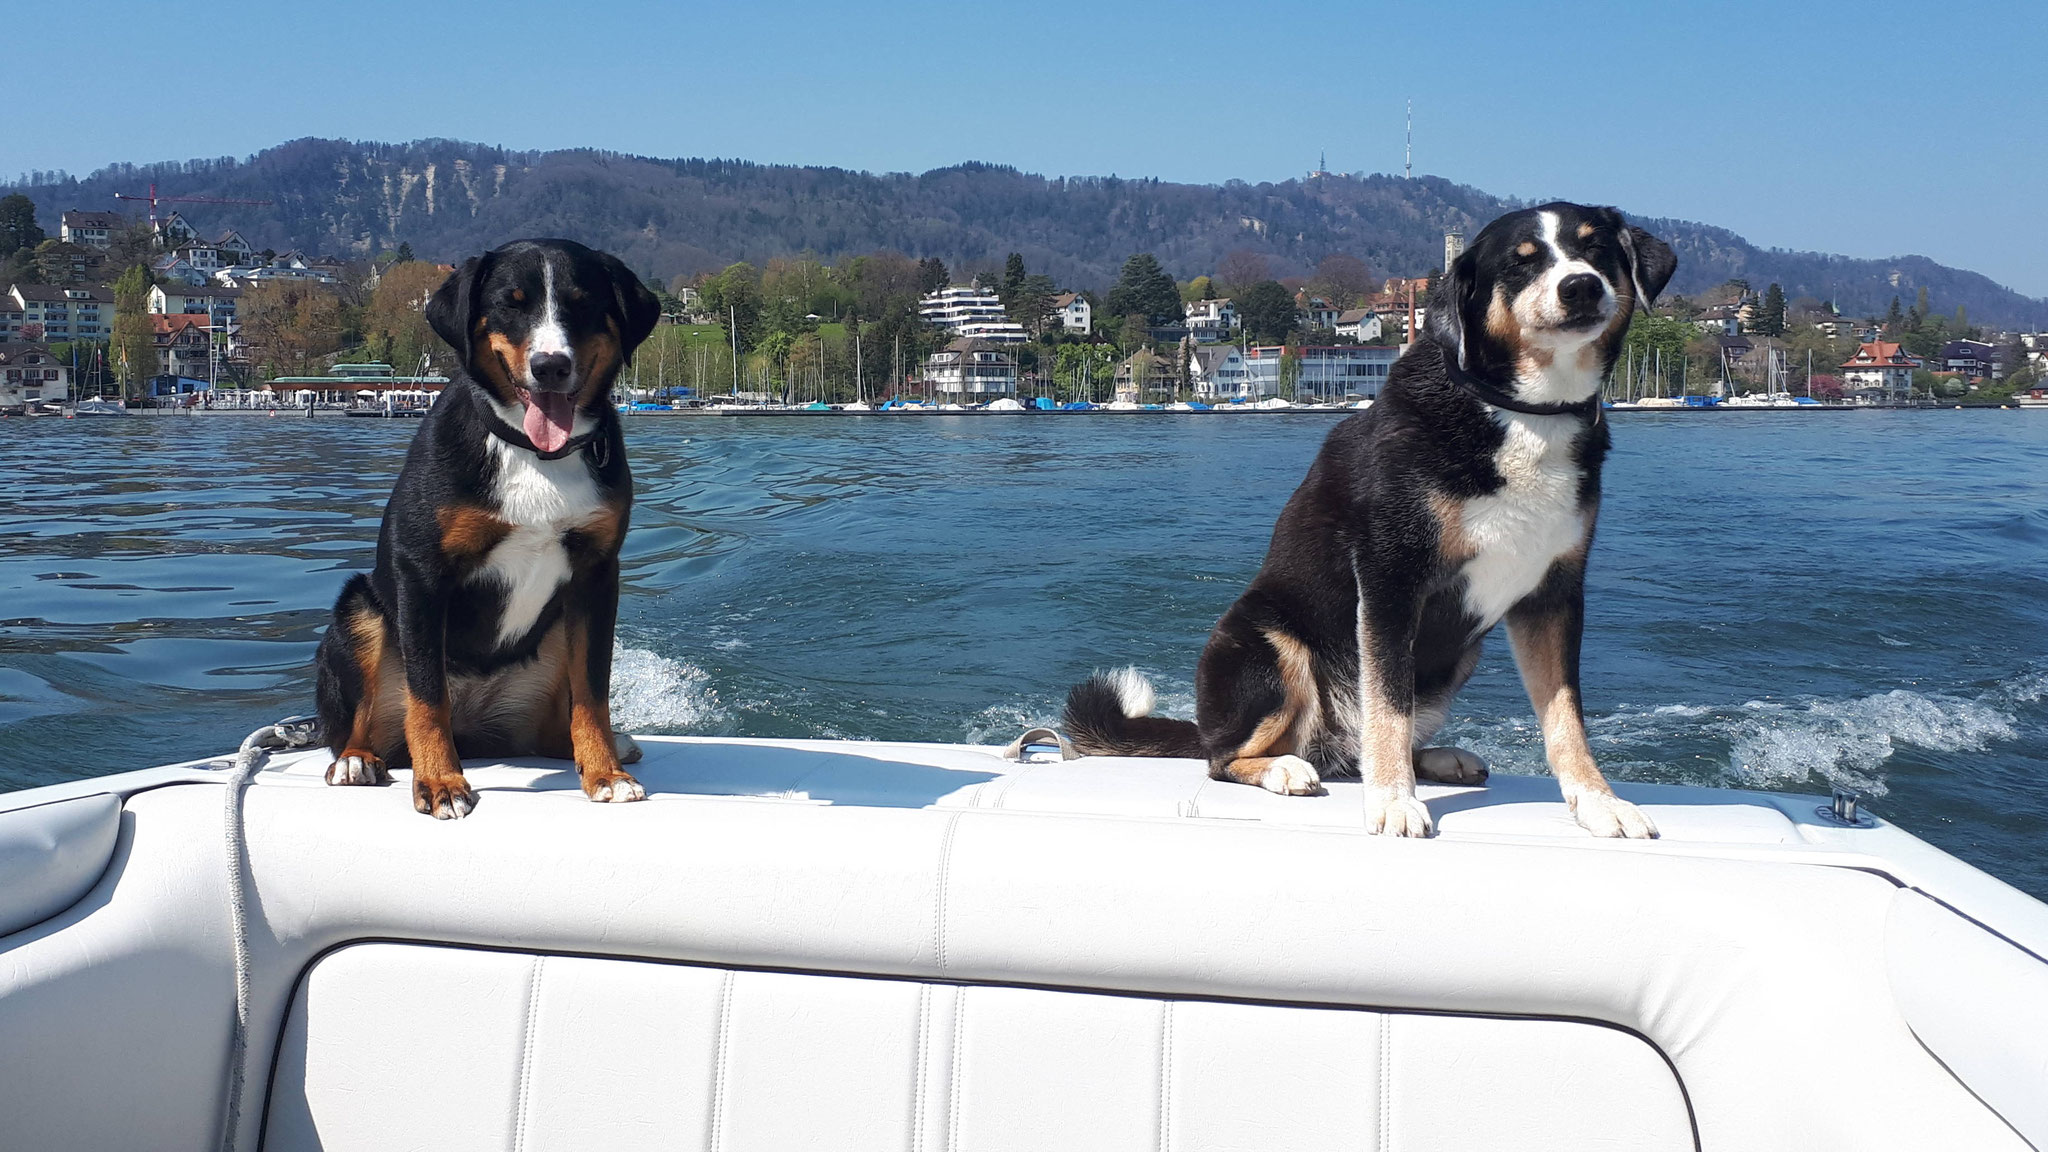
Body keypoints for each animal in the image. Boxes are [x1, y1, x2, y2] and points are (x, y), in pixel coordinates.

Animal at [315, 237, 659, 815]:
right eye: (510, 304)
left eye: (582, 304)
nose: (550, 365)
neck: (534, 453)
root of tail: (477, 729)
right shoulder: (422, 573)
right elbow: (428, 697)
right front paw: (439, 783)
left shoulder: (596, 575)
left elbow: (593, 691)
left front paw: (605, 773)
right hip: (359, 611)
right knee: (359, 725)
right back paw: (357, 760)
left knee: (555, 724)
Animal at [1064, 203, 1671, 832]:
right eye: (1520, 263)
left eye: (1595, 248)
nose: (1581, 286)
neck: (1523, 412)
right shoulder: (1390, 579)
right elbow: (1387, 703)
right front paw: (1393, 801)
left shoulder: (1554, 595)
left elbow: (1565, 716)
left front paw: (1598, 802)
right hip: (1268, 645)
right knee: (1225, 757)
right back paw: (1283, 767)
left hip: (1456, 658)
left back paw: (1435, 758)